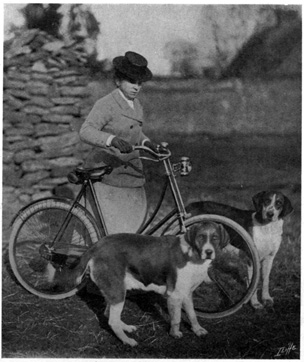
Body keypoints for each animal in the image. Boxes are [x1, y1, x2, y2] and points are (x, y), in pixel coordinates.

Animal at [55, 222, 229, 346]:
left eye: (215, 238)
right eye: (201, 237)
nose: (209, 252)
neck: (193, 255)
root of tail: (96, 246)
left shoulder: (187, 294)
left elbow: (192, 315)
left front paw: (197, 330)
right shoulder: (175, 296)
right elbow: (176, 318)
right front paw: (175, 334)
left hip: (115, 290)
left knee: (108, 313)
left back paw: (126, 328)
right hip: (117, 292)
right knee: (112, 320)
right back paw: (127, 341)